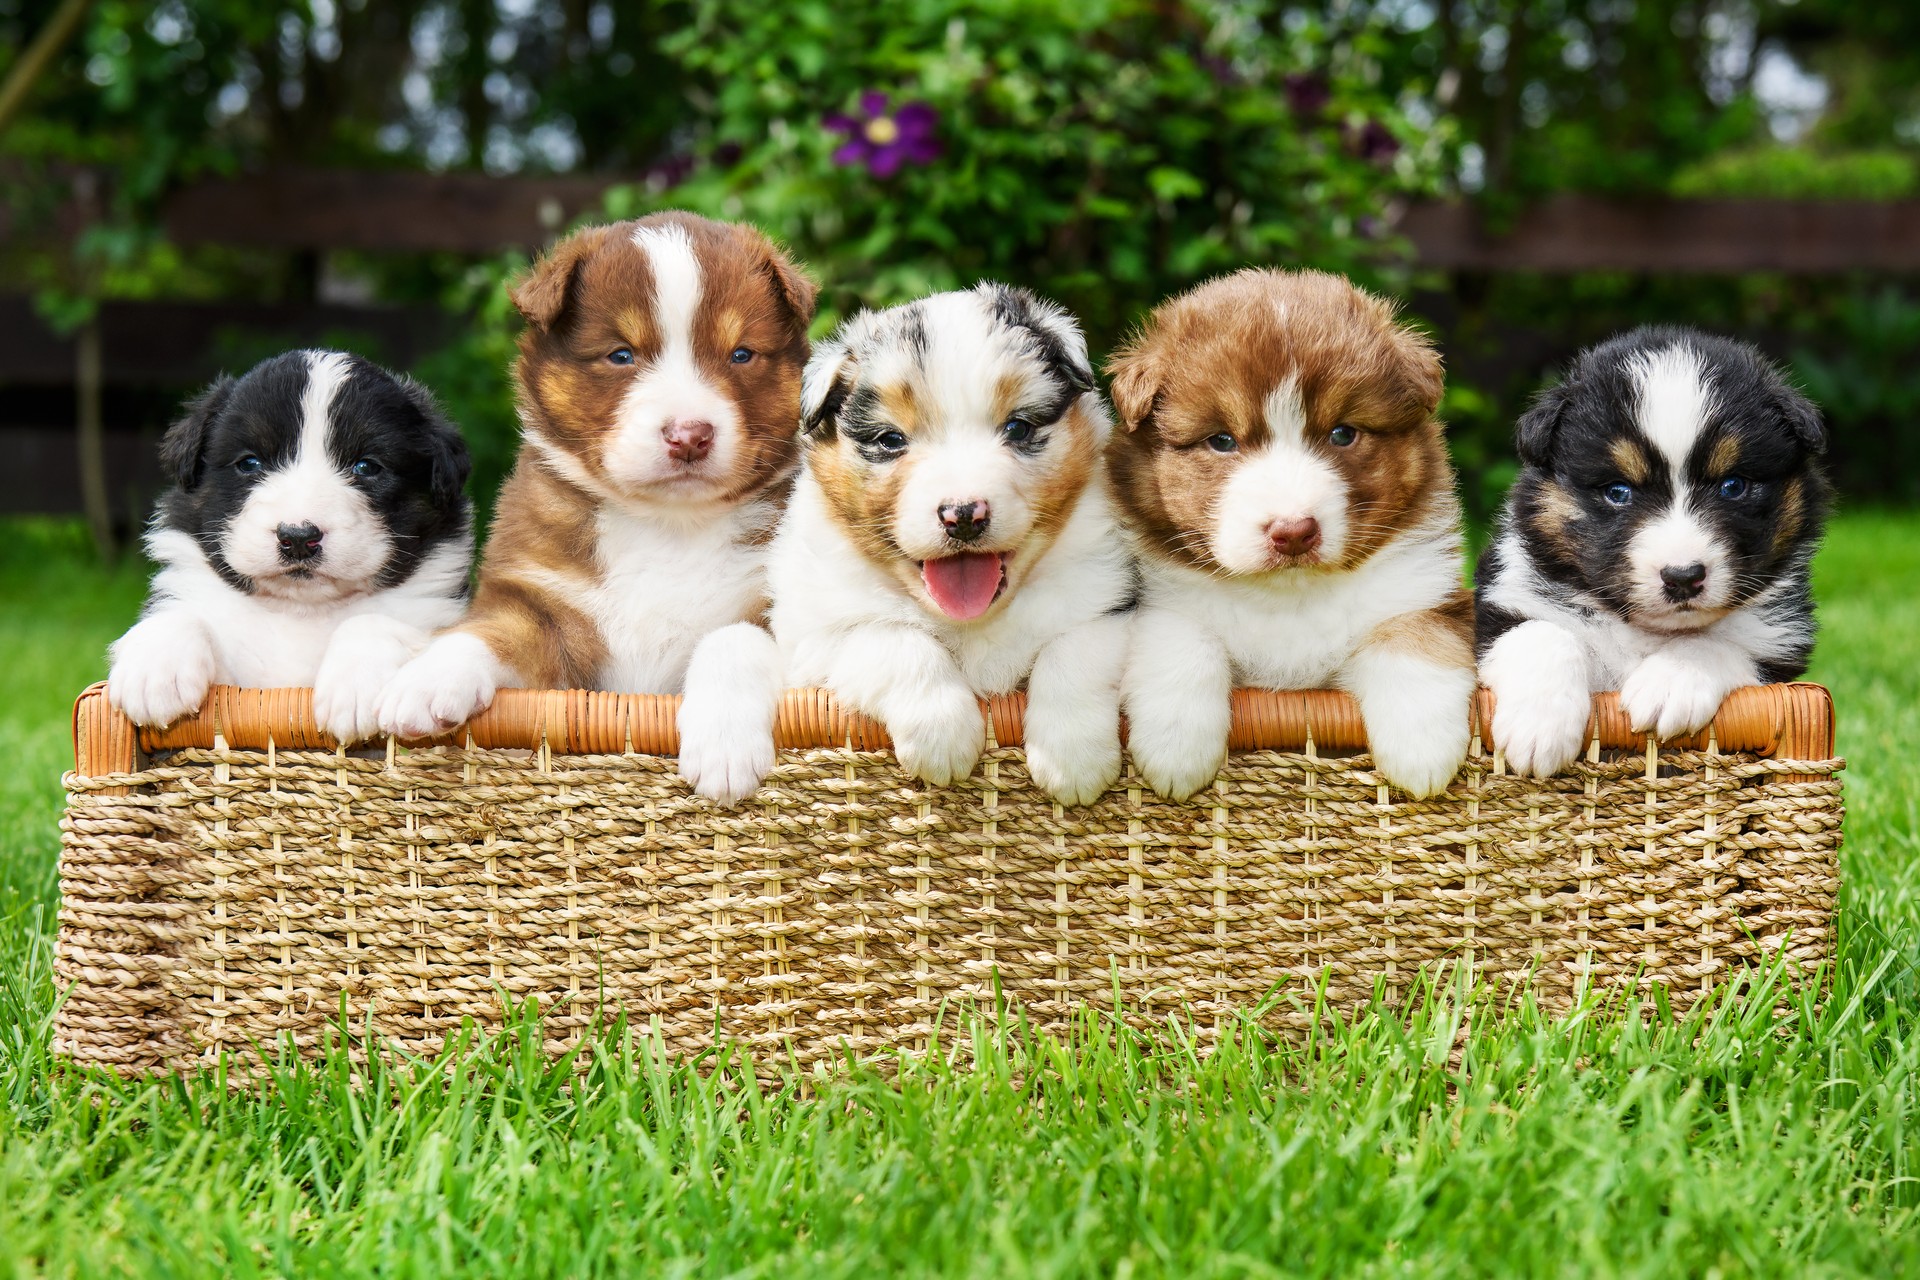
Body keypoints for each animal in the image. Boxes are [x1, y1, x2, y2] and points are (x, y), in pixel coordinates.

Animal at [108, 351, 476, 740]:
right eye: (249, 463)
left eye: (366, 467)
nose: (298, 537)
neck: (301, 611)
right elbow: (179, 616)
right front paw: (153, 675)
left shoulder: (434, 613)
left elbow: (373, 622)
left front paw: (354, 688)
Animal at [378, 211, 814, 802]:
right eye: (621, 355)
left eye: (741, 354)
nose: (689, 435)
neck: (667, 525)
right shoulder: (543, 610)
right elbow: (488, 632)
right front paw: (422, 683)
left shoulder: (778, 603)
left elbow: (733, 638)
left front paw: (723, 747)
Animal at [1105, 270, 1474, 802]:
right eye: (1222, 440)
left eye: (1343, 434)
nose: (1294, 532)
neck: (1289, 596)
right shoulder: (1160, 596)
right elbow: (1180, 635)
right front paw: (1175, 749)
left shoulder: (1429, 594)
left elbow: (1411, 635)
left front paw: (1422, 750)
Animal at [1474, 326, 1835, 775]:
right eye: (1617, 491)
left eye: (1733, 485)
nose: (1683, 578)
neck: (1644, 631)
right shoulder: (1497, 603)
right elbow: (1541, 632)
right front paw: (1539, 725)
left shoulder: (1780, 646)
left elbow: (1718, 641)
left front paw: (1670, 683)